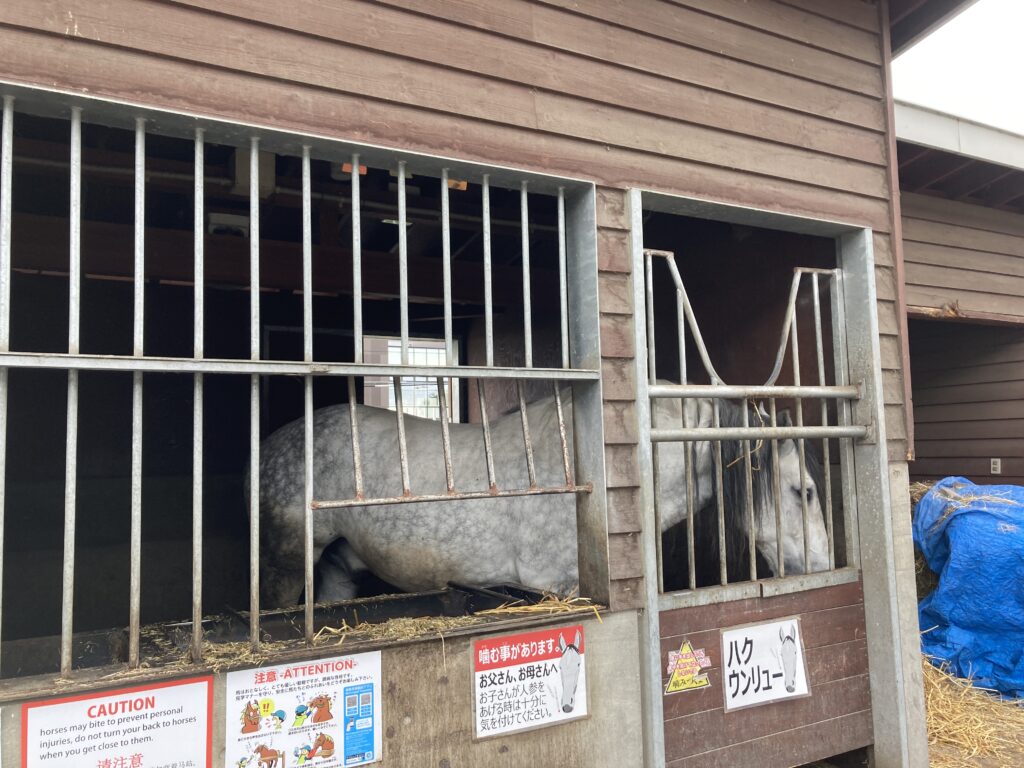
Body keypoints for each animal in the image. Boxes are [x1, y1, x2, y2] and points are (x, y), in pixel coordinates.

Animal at [253, 393, 823, 610]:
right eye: (805, 490)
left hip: (337, 567)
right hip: (287, 564)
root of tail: (270, 444)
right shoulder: (559, 588)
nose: (819, 567)